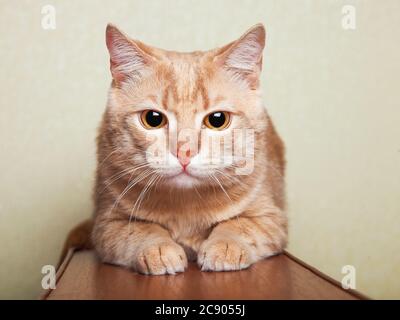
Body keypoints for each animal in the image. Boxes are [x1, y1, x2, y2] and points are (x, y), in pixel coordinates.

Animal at [88, 23, 288, 276]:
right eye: (152, 119)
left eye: (217, 120)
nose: (184, 152)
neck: (186, 204)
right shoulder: (107, 225)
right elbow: (141, 230)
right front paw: (158, 249)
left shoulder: (271, 219)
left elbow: (239, 225)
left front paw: (225, 246)